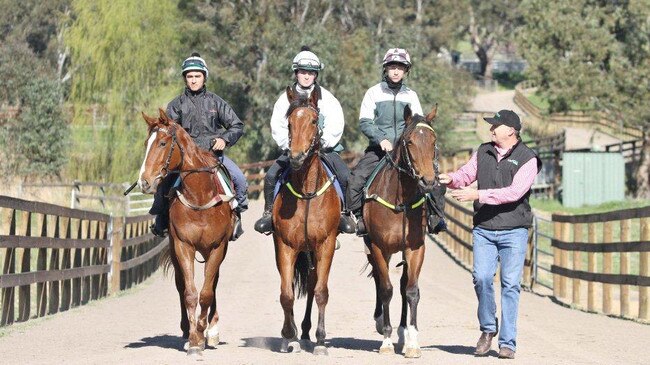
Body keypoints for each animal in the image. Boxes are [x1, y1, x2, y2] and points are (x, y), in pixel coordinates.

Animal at [136, 109, 233, 356]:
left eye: (162, 143)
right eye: (146, 143)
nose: (144, 182)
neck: (199, 196)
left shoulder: (217, 247)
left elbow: (207, 292)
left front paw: (205, 331)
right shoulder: (183, 245)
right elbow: (189, 293)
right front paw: (194, 339)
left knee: (212, 284)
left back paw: (211, 328)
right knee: (181, 285)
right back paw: (186, 330)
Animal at [270, 84, 340, 352]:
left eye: (313, 120)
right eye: (289, 122)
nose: (297, 157)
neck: (308, 193)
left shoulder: (325, 245)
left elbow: (321, 291)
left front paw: (320, 340)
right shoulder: (285, 246)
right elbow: (286, 294)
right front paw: (288, 335)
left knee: (311, 285)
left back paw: (309, 331)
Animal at [362, 104, 438, 356]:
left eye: (433, 141)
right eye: (410, 141)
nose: (428, 181)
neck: (399, 202)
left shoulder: (415, 249)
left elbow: (411, 291)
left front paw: (412, 342)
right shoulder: (378, 247)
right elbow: (386, 289)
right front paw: (386, 340)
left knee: (404, 285)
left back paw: (403, 332)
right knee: (380, 280)